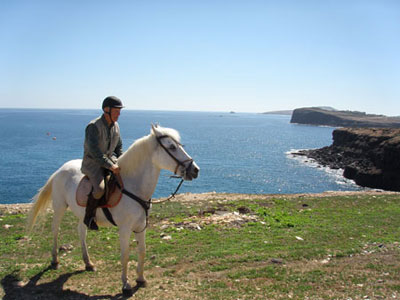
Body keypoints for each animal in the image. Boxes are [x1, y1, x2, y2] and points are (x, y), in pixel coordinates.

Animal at [27, 124, 199, 296]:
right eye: (172, 147)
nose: (195, 170)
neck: (133, 186)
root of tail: (61, 169)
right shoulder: (124, 229)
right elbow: (125, 255)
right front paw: (126, 285)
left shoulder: (141, 226)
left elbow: (142, 251)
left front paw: (141, 279)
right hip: (59, 207)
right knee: (55, 229)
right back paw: (55, 260)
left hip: (83, 214)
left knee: (81, 231)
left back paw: (88, 263)